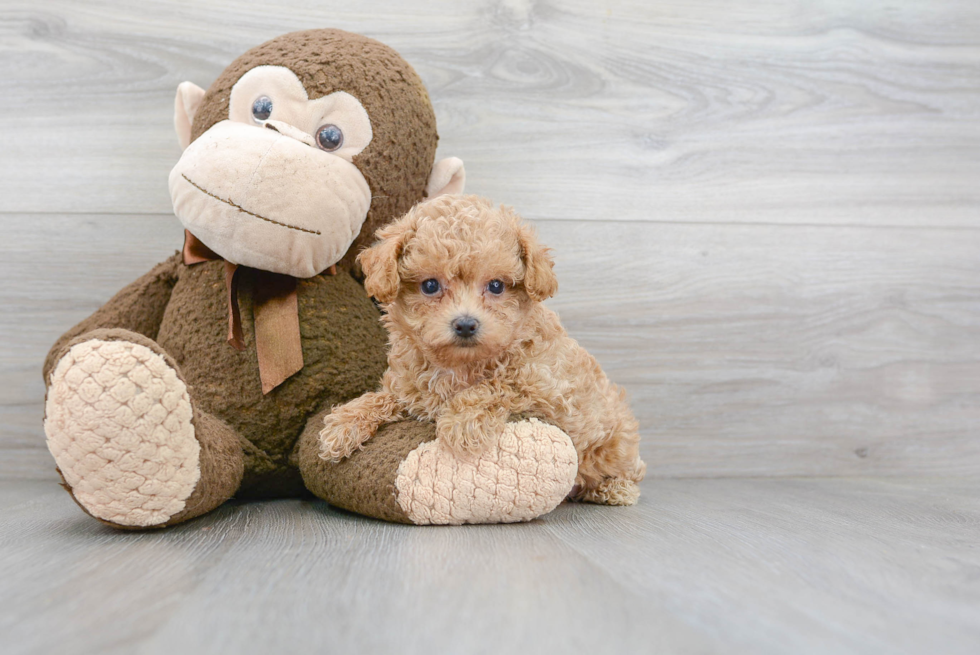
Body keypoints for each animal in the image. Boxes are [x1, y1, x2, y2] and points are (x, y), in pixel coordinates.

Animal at [318, 195, 648, 508]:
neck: (460, 365)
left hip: (614, 444)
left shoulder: (549, 390)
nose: (465, 324)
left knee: (627, 471)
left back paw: (614, 489)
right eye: (430, 285)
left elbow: (499, 384)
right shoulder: (411, 388)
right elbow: (386, 396)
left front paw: (462, 422)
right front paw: (345, 423)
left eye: (497, 286)